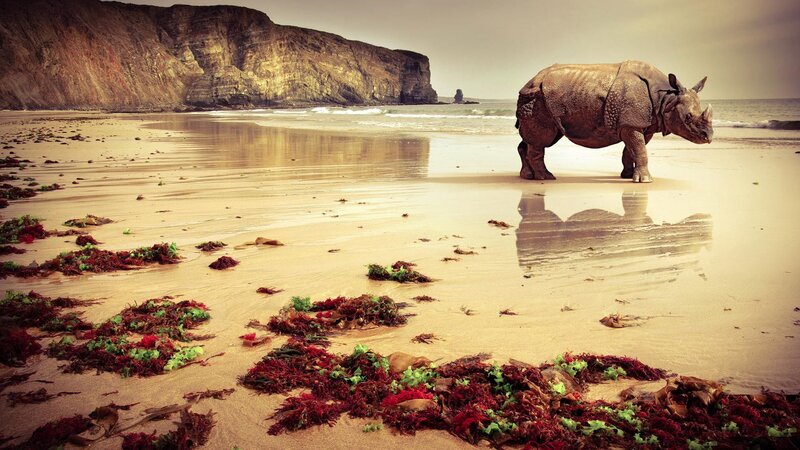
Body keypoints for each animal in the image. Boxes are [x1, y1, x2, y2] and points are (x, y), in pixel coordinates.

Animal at [515, 61, 713, 182]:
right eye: (688, 117)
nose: (708, 137)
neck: (666, 98)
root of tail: (530, 80)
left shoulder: (643, 124)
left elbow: (632, 150)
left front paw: (628, 176)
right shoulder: (631, 123)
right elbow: (640, 149)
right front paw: (645, 181)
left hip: (539, 98)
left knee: (537, 138)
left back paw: (527, 176)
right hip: (537, 97)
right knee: (542, 139)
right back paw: (546, 178)